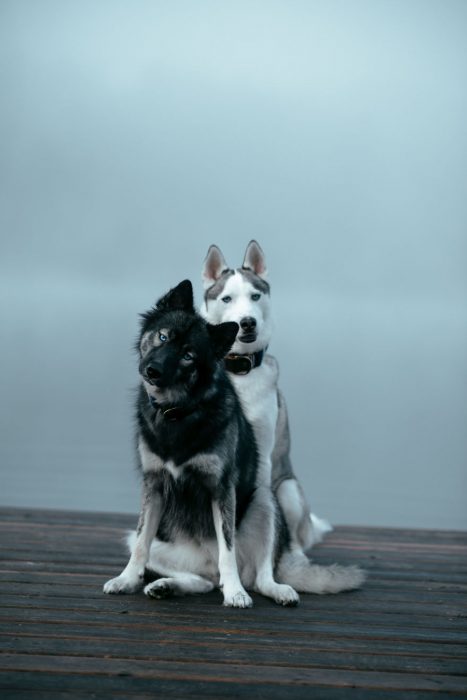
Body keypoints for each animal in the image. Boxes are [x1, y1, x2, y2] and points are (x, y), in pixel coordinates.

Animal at [103, 278, 366, 608]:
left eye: (188, 355)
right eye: (163, 336)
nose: (152, 370)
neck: (179, 411)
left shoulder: (221, 488)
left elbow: (226, 550)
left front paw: (235, 593)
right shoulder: (154, 486)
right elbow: (141, 542)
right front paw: (126, 579)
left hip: (265, 500)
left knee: (260, 576)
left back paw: (273, 589)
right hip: (165, 545)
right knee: (202, 581)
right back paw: (167, 585)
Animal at [203, 241, 330, 552]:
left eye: (255, 295)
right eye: (227, 299)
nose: (247, 322)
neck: (238, 370)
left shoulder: (261, 448)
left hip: (288, 489)